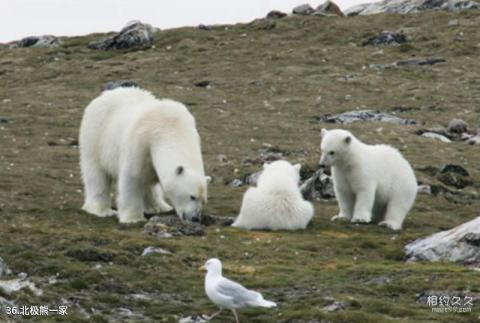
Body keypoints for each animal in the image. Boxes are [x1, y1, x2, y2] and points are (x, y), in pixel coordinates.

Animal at [79, 88, 210, 225]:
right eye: (192, 196)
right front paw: (133, 219)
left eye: (204, 200)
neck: (170, 127)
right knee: (96, 174)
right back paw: (101, 210)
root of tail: (105, 95)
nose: (195, 218)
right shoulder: (140, 143)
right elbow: (132, 178)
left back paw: (159, 206)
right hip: (96, 136)